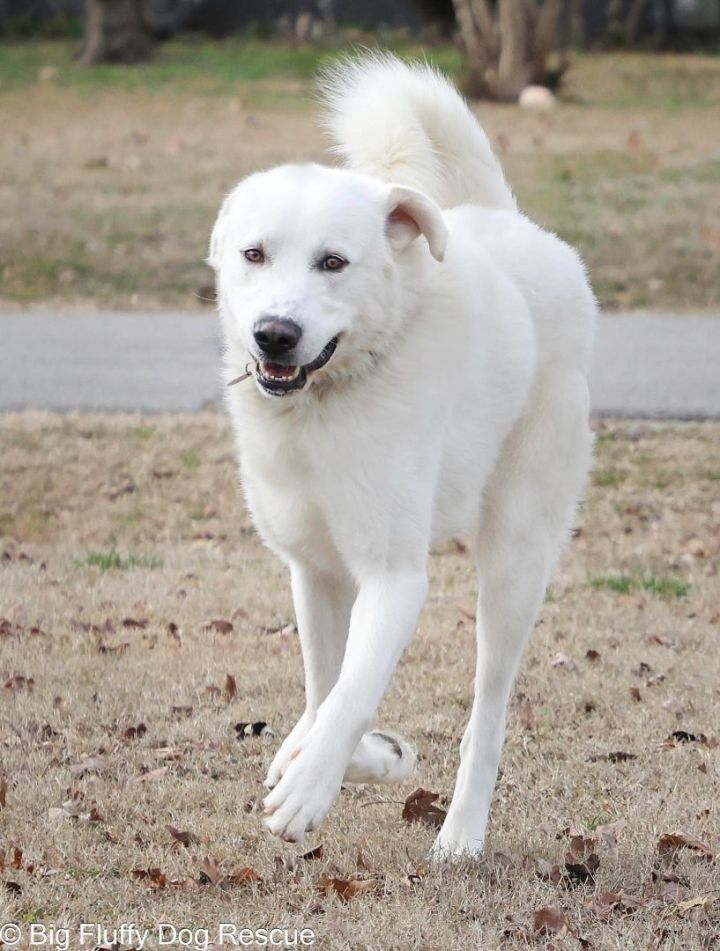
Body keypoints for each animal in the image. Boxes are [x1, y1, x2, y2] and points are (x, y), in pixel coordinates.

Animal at [210, 52, 596, 860]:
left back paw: (462, 833)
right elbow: (324, 693)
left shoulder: (393, 580)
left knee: (488, 715)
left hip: (514, 562)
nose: (274, 334)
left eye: (333, 262)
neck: (327, 402)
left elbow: (352, 694)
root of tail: (512, 224)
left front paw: (311, 783)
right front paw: (355, 757)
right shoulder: (317, 573)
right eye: (254, 254)